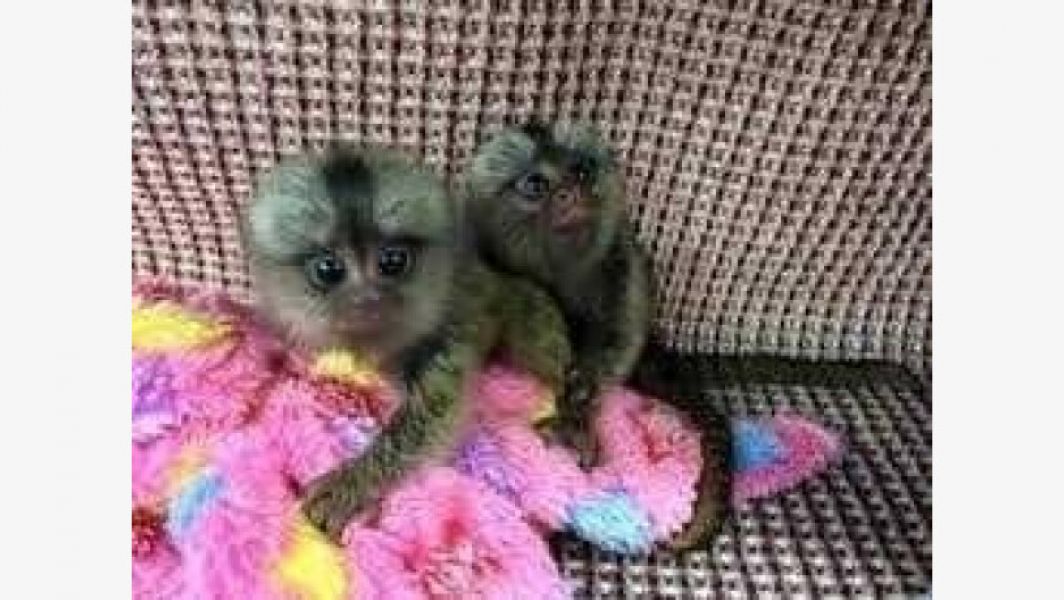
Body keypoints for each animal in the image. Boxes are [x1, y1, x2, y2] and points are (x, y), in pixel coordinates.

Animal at [243, 143, 572, 540]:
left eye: (392, 261)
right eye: (328, 270)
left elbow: (430, 417)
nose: (368, 298)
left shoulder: (450, 332)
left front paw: (351, 483)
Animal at [462, 121, 730, 550]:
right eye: (535, 184)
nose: (571, 193)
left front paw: (578, 407)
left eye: (581, 171)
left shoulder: (624, 266)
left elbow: (616, 339)